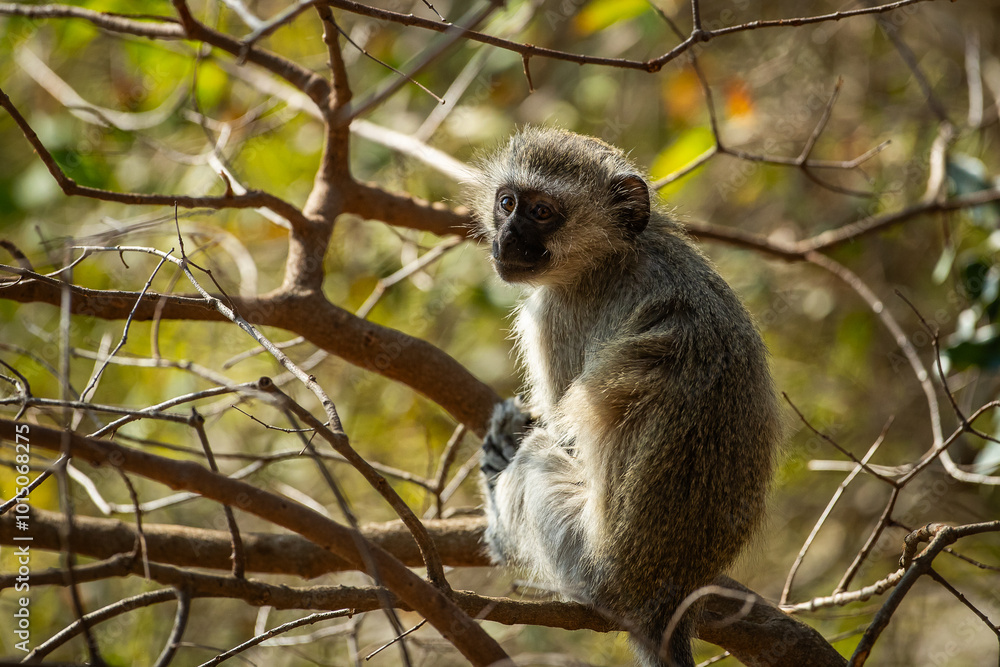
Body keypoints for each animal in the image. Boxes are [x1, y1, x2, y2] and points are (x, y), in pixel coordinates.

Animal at [470, 127, 782, 667]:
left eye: (542, 212)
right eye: (507, 203)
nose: (506, 238)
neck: (615, 254)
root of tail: (661, 599)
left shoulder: (555, 316)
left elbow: (564, 437)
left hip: (584, 561)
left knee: (537, 458)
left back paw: (499, 519)